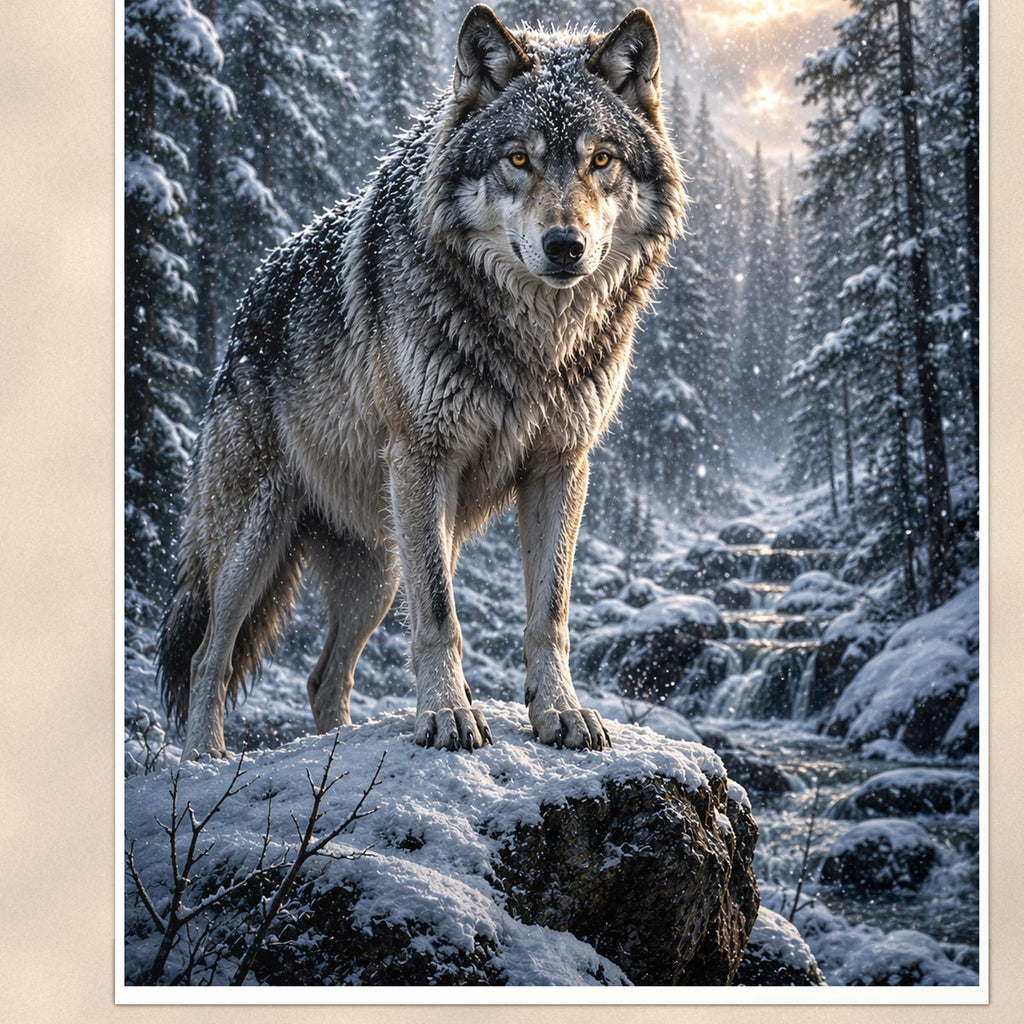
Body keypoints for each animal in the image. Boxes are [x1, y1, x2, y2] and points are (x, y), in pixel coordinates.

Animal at [158, 5, 686, 761]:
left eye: (601, 160)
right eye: (517, 159)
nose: (565, 246)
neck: (535, 340)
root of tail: (245, 303)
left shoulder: (560, 464)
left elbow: (550, 612)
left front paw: (559, 712)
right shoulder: (423, 457)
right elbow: (440, 613)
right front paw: (446, 716)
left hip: (382, 563)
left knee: (324, 676)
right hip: (260, 539)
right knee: (211, 653)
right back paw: (206, 758)